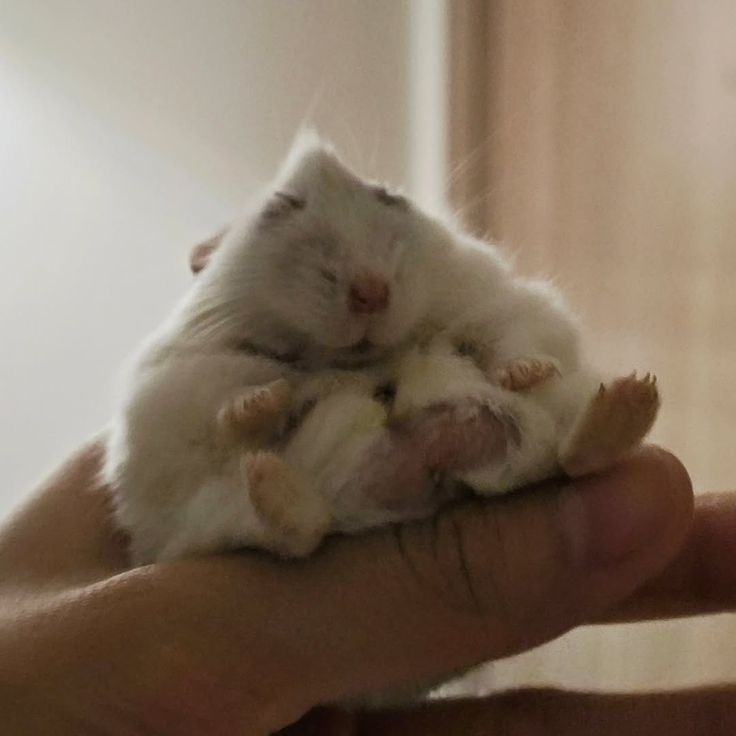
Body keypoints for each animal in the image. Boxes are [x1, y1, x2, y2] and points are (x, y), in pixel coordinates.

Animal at [105, 132, 660, 565]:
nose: (371, 291)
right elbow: (228, 408)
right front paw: (265, 400)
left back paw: (629, 400)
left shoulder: (502, 303)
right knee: (293, 531)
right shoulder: (186, 377)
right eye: (283, 205)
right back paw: (268, 478)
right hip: (208, 515)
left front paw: (523, 372)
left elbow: (513, 341)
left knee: (573, 457)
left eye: (388, 196)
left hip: (561, 411)